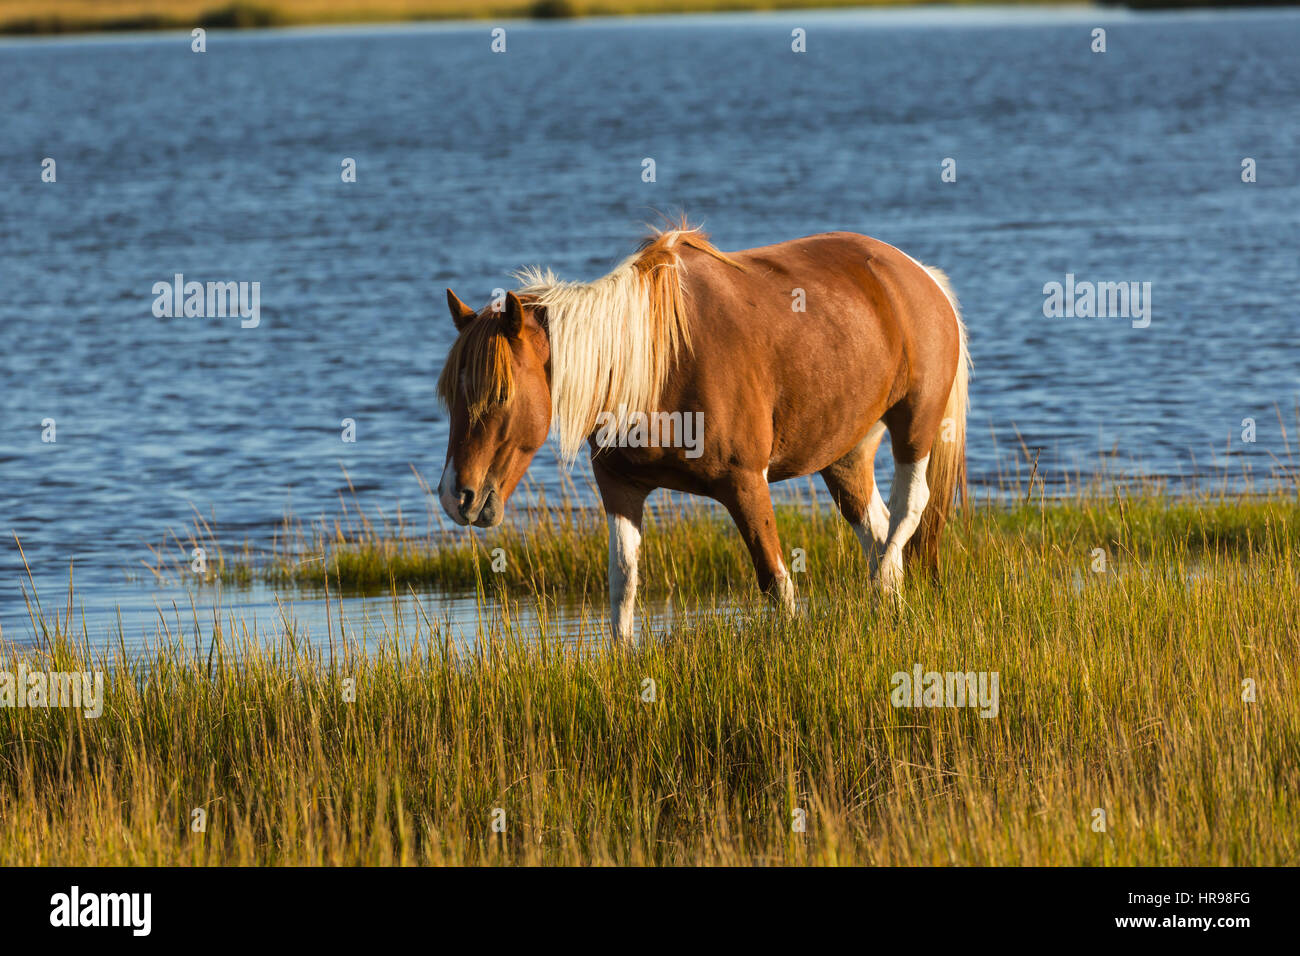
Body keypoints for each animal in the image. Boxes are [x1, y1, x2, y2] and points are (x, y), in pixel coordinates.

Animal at [436, 226, 967, 642]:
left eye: (500, 394)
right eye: (450, 398)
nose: (457, 497)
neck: (656, 365)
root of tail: (921, 277)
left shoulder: (745, 483)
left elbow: (775, 579)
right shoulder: (620, 488)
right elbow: (622, 583)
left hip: (915, 427)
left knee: (906, 514)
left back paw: (881, 590)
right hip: (845, 453)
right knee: (877, 529)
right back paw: (888, 612)